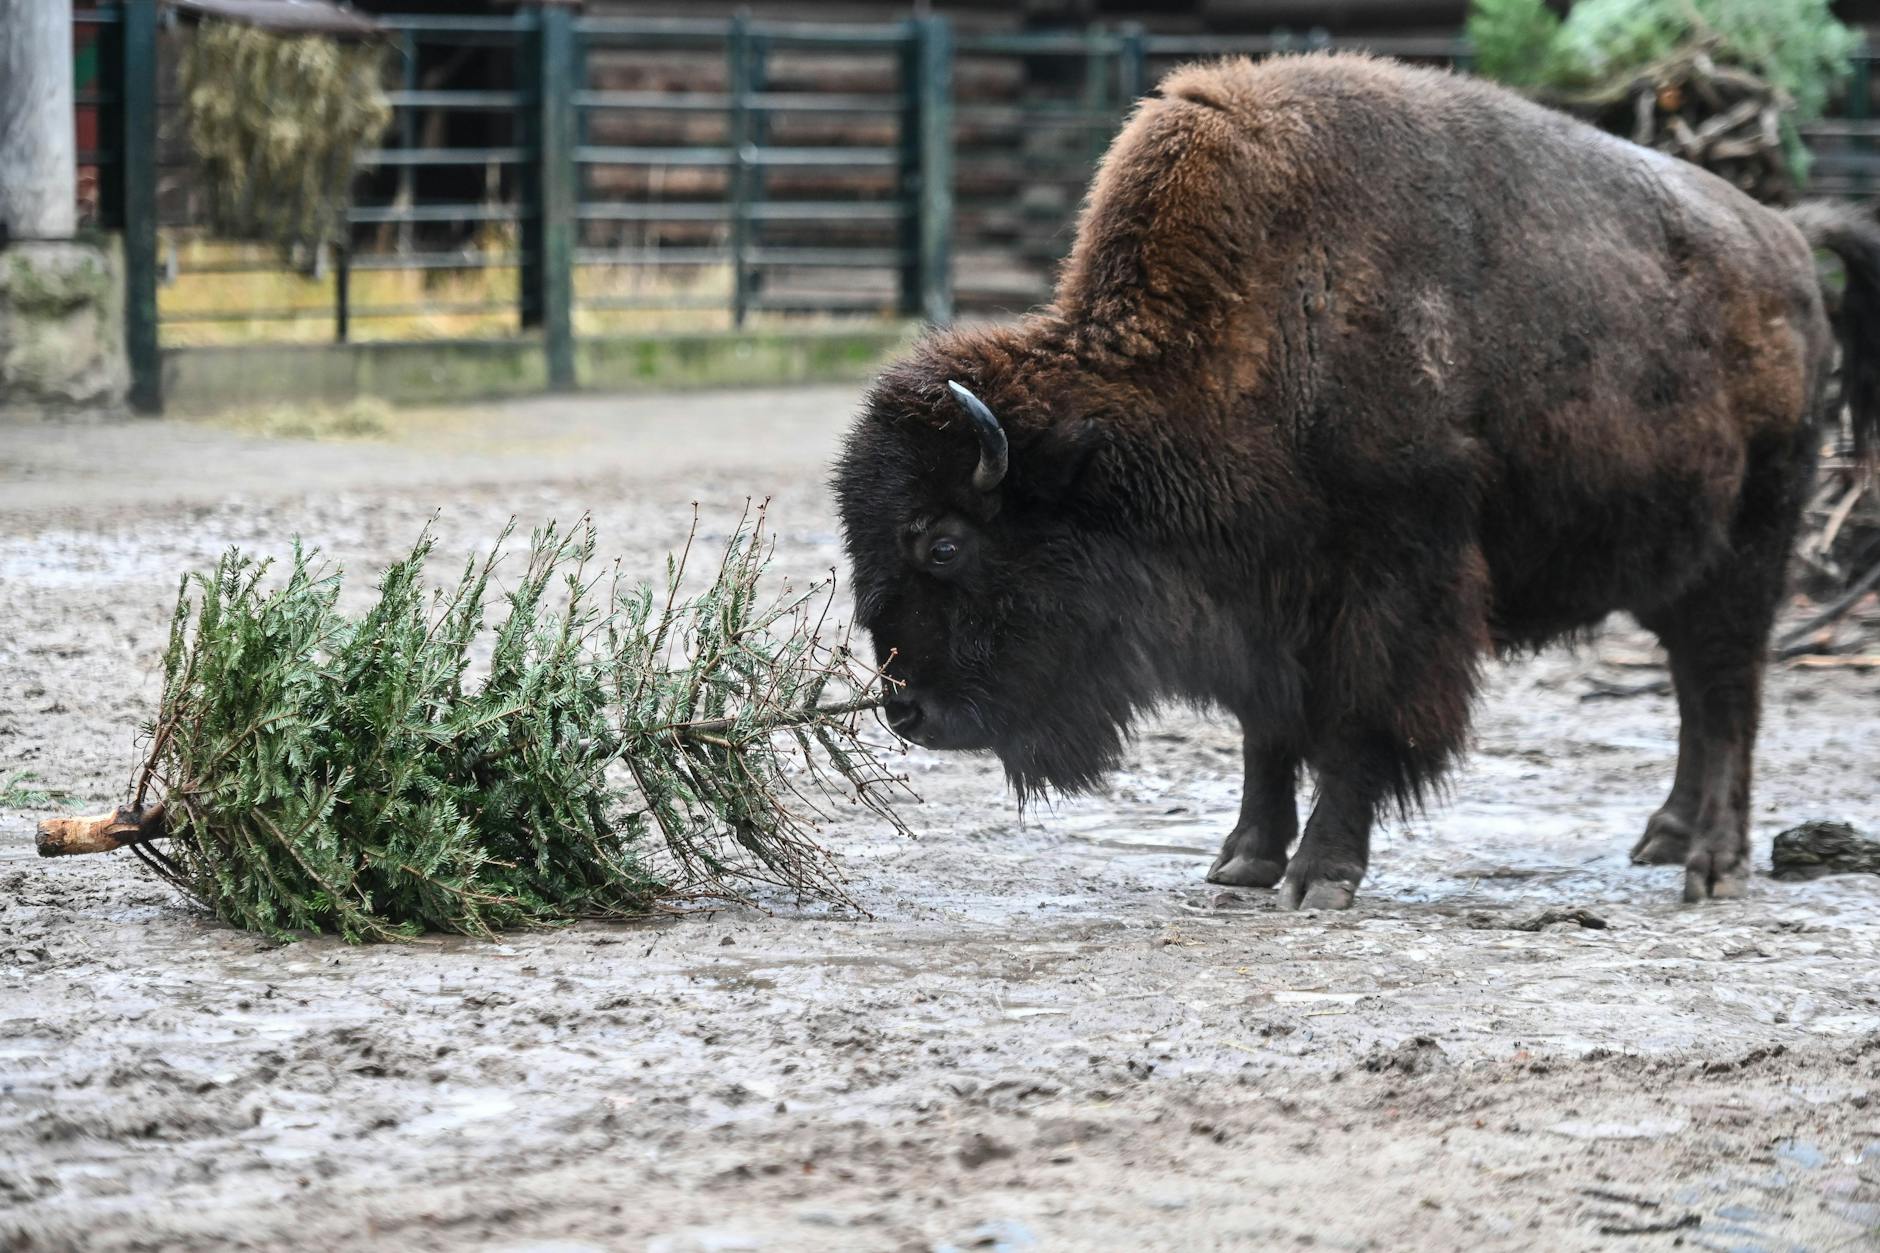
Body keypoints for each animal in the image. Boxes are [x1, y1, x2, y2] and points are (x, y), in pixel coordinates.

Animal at [833, 53, 1879, 910]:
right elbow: (1265, 733)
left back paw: (1712, 863)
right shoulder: (1260, 607)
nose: (907, 710)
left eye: (943, 539)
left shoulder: (1390, 583)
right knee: (1699, 691)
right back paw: (1664, 838)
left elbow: (1355, 724)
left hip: (1749, 555)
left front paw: (1321, 876)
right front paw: (1243, 861)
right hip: (1674, 572)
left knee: (1728, 692)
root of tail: (1788, 242)